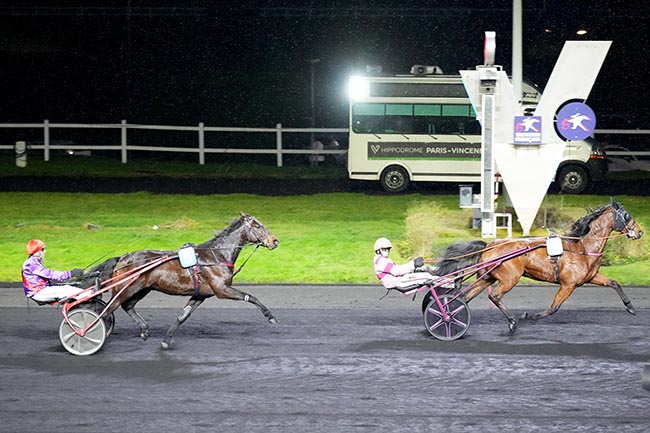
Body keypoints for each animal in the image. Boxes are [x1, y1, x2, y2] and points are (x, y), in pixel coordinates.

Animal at [95, 211, 278, 350]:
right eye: (256, 225)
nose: (275, 241)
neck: (217, 255)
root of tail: (122, 258)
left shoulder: (200, 295)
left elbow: (183, 316)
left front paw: (166, 341)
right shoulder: (222, 289)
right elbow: (251, 296)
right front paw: (271, 317)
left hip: (142, 289)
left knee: (127, 306)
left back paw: (144, 330)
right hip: (127, 288)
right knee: (108, 308)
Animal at [432, 197, 640, 332]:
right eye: (627, 215)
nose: (639, 232)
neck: (582, 247)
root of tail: (490, 244)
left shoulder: (590, 277)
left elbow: (614, 283)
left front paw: (630, 307)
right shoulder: (568, 284)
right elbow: (553, 308)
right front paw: (528, 317)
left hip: (487, 278)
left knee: (465, 297)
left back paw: (452, 317)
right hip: (510, 278)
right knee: (495, 297)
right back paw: (511, 322)